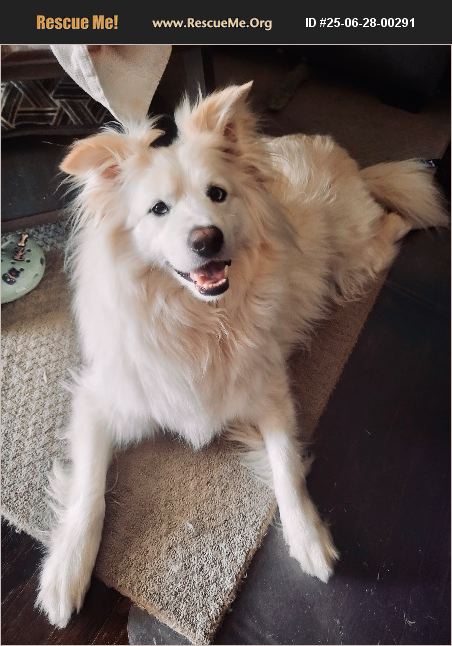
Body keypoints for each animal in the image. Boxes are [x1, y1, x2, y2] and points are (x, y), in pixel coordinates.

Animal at [36, 81, 447, 627]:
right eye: (158, 209)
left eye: (217, 194)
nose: (207, 239)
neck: (197, 320)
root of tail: (341, 155)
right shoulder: (98, 402)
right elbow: (88, 494)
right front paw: (65, 573)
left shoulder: (272, 394)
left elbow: (287, 467)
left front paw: (308, 538)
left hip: (358, 257)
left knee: (391, 222)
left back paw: (405, 216)